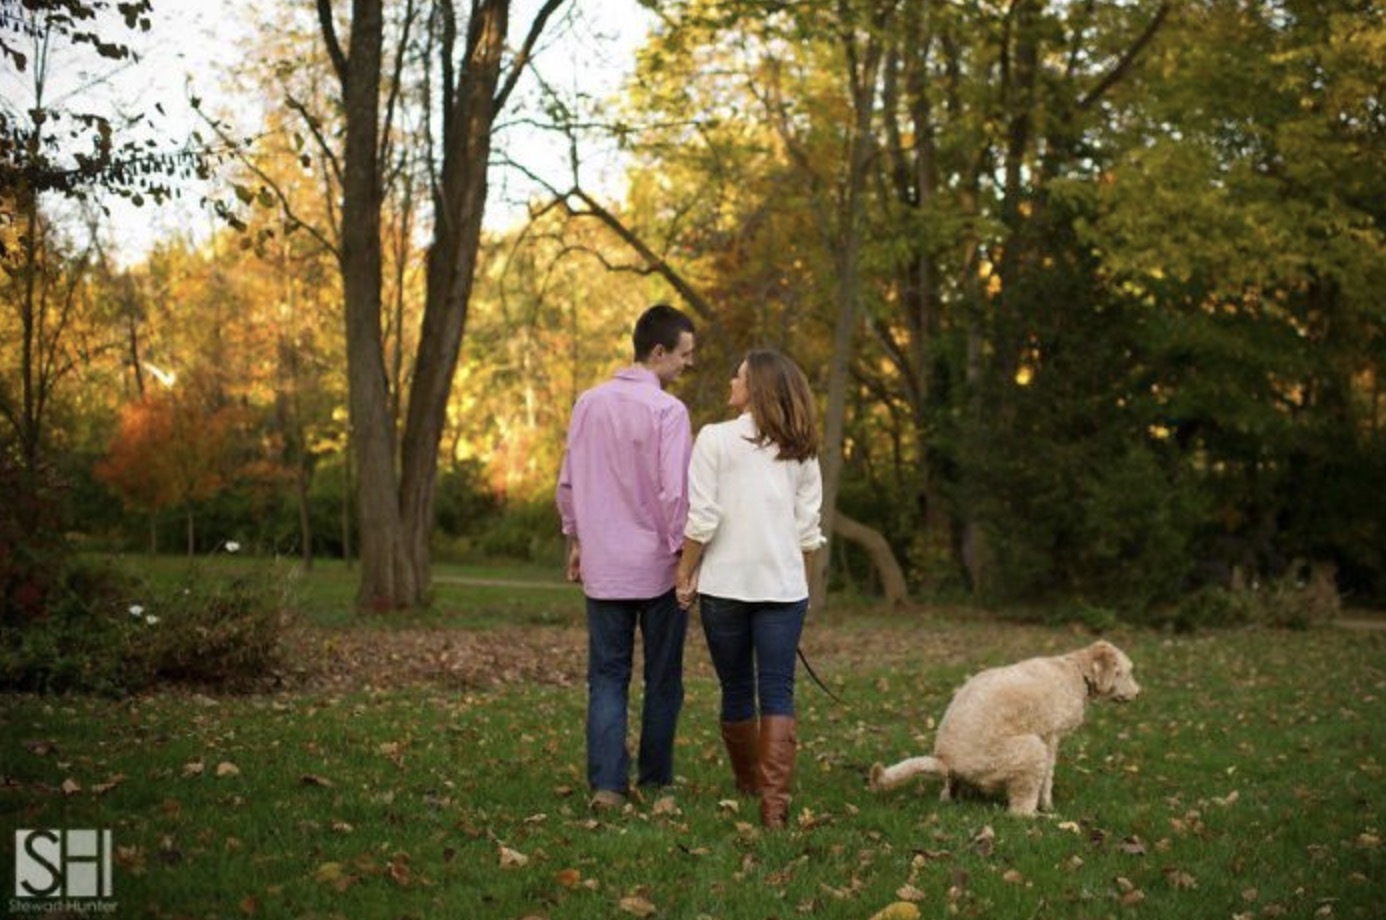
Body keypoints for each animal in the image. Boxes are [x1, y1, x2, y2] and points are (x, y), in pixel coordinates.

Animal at [868, 639, 1140, 815]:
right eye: (1126, 672)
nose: (1139, 693)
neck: (1077, 671)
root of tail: (945, 760)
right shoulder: (1050, 738)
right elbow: (1048, 779)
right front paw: (1048, 805)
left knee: (948, 792)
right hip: (1029, 749)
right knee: (1019, 809)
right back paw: (1038, 818)